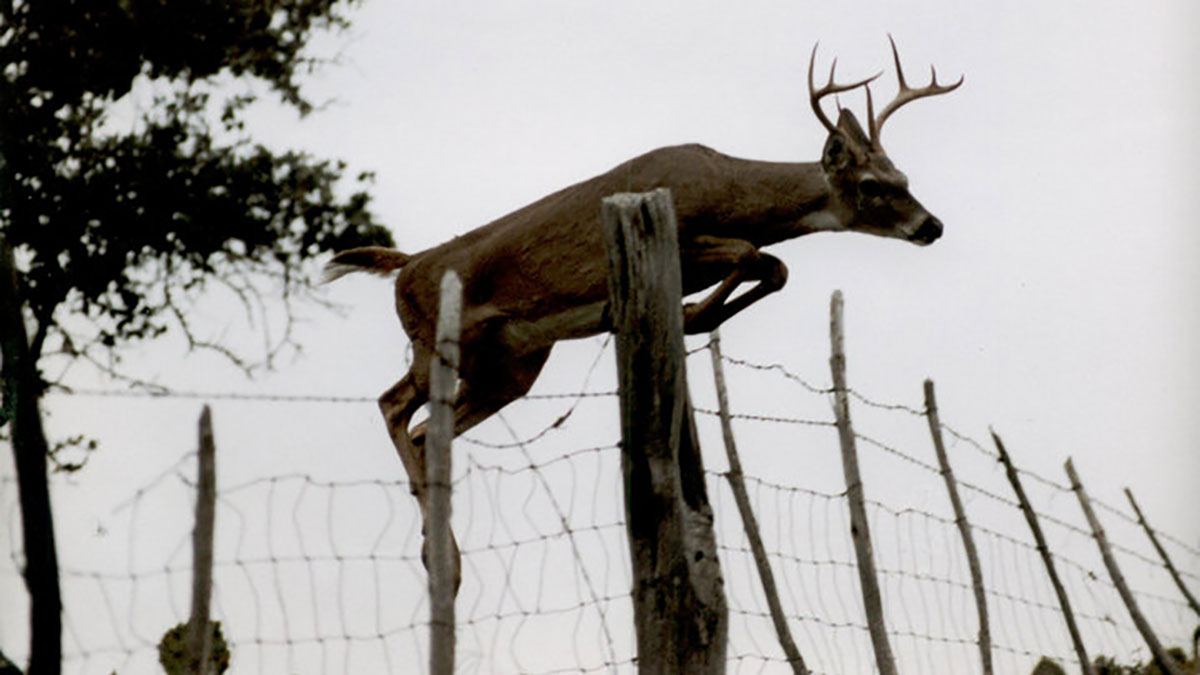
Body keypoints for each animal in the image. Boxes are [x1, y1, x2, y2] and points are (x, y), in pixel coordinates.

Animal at [325, 38, 961, 591]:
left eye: (904, 177)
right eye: (872, 185)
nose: (932, 225)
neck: (731, 190)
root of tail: (406, 266)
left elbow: (774, 266)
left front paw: (694, 311)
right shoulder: (687, 236)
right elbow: (752, 254)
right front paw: (694, 310)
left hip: (512, 365)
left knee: (425, 428)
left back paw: (438, 554)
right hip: (440, 339)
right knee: (393, 407)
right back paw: (444, 562)